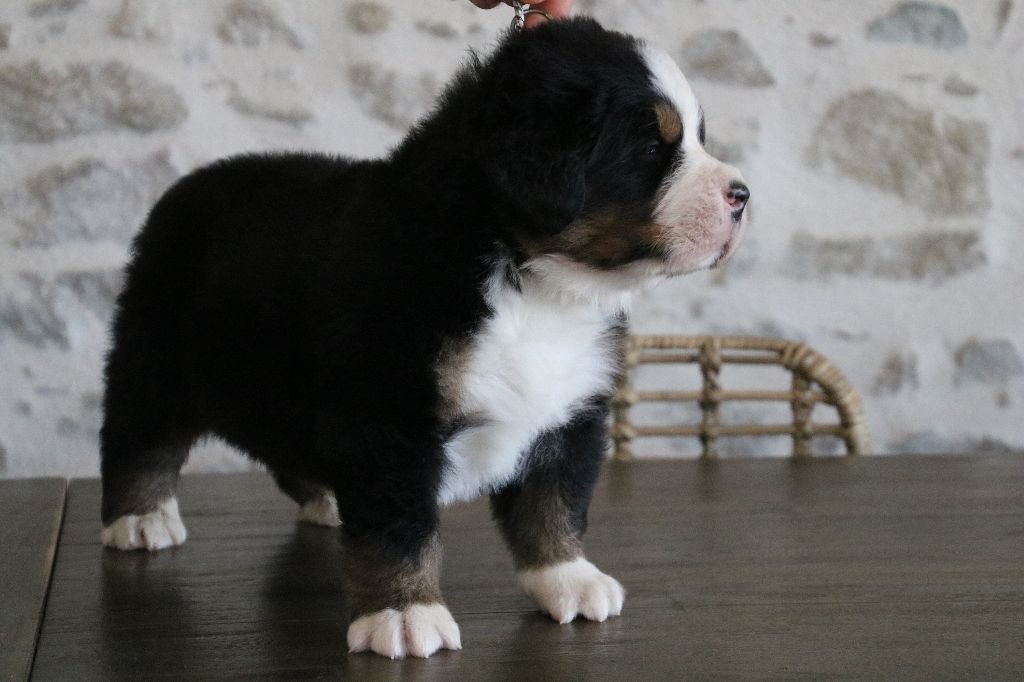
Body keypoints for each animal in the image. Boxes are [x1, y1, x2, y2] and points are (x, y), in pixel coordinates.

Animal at [99, 17, 749, 659]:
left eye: (696, 138)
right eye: (650, 148)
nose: (742, 195)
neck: (530, 279)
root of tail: (183, 189)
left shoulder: (569, 410)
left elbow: (554, 502)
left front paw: (568, 577)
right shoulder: (390, 415)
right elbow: (399, 529)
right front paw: (405, 611)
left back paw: (326, 499)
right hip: (156, 355)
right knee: (138, 437)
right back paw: (140, 518)